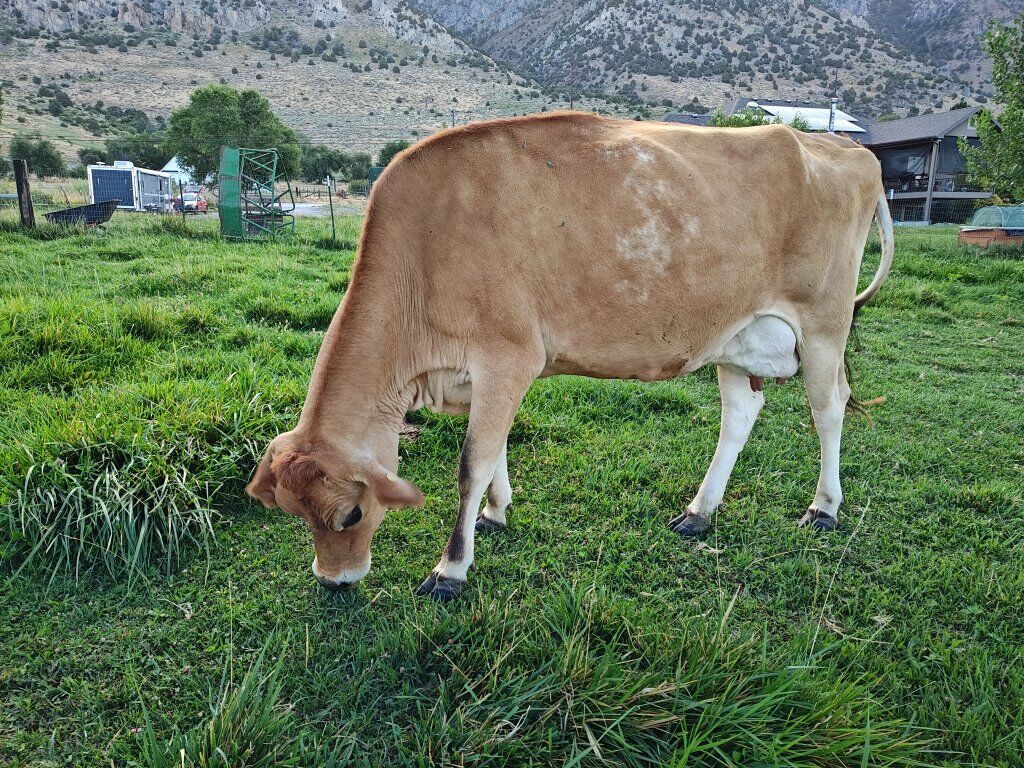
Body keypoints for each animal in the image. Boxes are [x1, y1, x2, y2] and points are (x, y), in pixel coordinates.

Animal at [247, 112, 894, 601]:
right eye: (295, 516)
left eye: (351, 516)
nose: (335, 581)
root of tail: (843, 147)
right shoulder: (483, 376)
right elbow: (496, 450)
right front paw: (496, 513)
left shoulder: (506, 356)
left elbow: (471, 464)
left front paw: (451, 568)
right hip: (736, 338)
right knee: (740, 414)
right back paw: (700, 511)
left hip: (824, 326)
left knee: (829, 408)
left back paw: (824, 507)